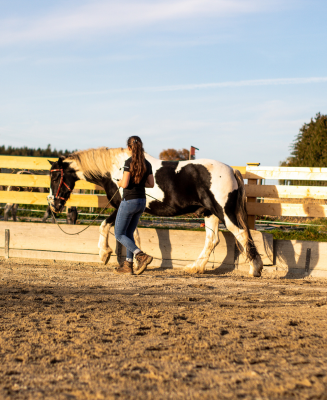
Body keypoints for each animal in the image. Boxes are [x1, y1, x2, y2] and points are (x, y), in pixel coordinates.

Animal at [48, 148, 264, 276]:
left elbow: (107, 226)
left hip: (224, 212)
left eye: (56, 178)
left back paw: (255, 269)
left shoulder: (122, 206)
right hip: (210, 213)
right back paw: (195, 267)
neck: (117, 170)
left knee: (241, 234)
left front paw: (104, 254)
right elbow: (129, 234)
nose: (53, 205)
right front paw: (135, 263)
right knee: (213, 240)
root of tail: (232, 170)